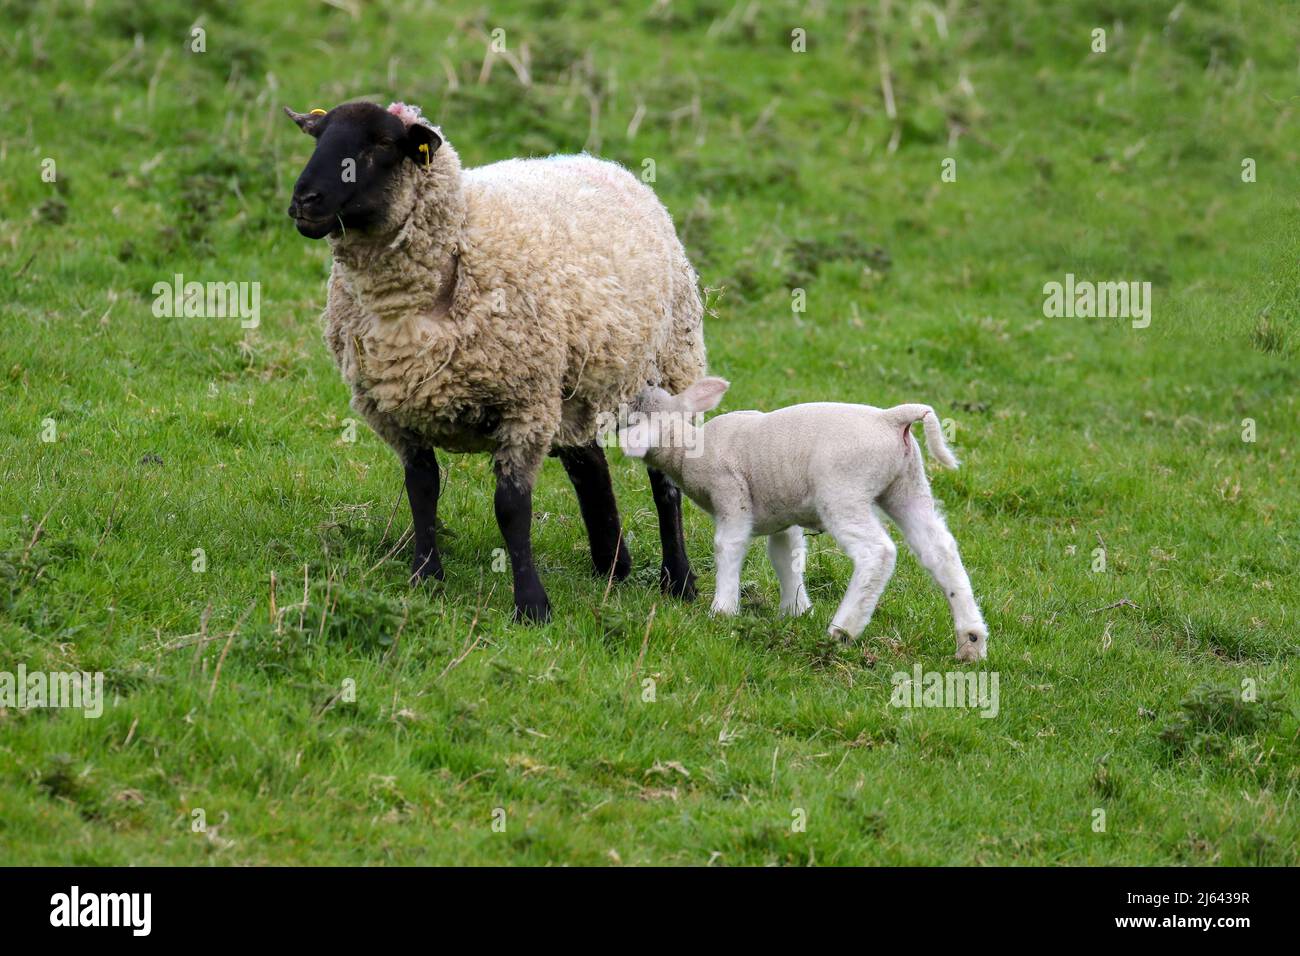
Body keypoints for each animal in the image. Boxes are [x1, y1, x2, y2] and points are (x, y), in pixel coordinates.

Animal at [283, 100, 707, 621]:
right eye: (318, 135)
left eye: (381, 143)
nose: (304, 201)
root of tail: (607, 165)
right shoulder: (395, 410)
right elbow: (422, 490)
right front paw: (426, 577)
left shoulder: (523, 403)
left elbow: (510, 507)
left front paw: (532, 606)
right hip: (570, 386)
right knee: (588, 462)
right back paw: (612, 563)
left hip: (667, 367)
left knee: (664, 478)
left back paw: (678, 580)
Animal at [618, 378, 989, 661]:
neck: (690, 448)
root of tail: (892, 418)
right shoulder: (782, 515)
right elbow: (787, 557)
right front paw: (795, 610)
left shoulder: (731, 495)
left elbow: (728, 546)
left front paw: (722, 609)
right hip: (907, 487)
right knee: (940, 550)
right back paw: (970, 640)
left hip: (843, 490)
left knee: (877, 553)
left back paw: (843, 630)